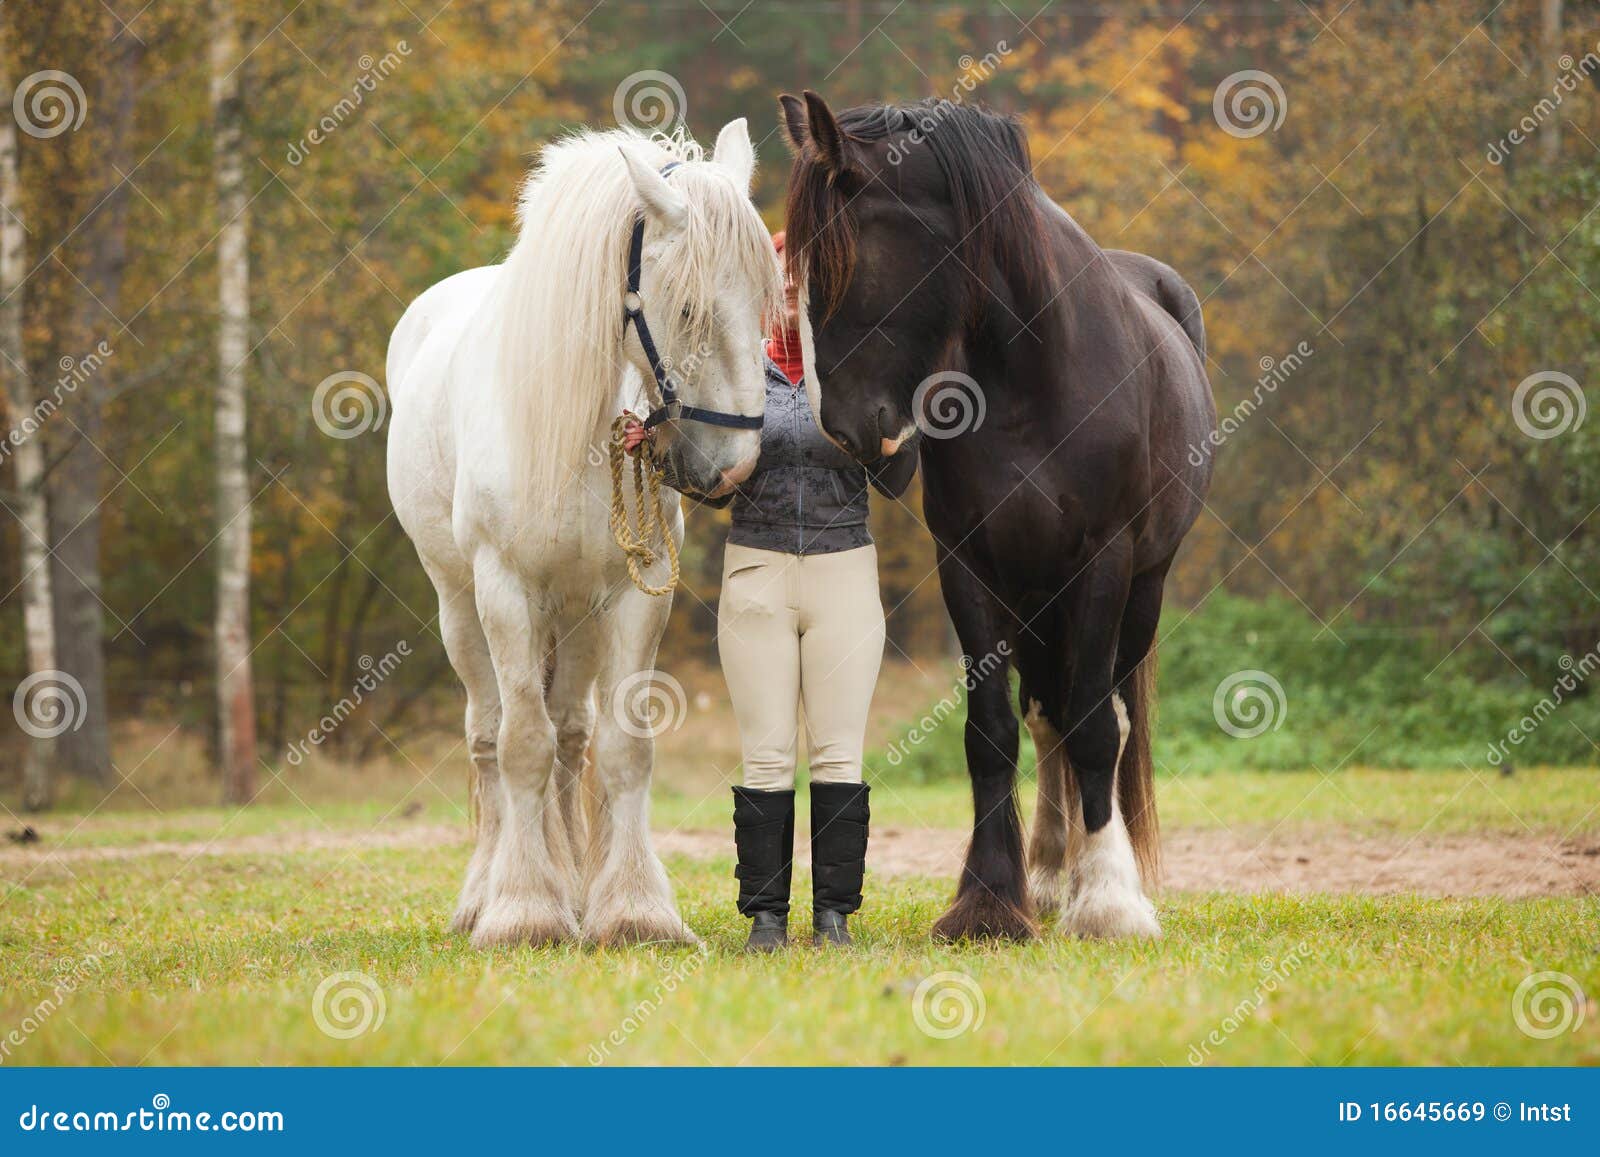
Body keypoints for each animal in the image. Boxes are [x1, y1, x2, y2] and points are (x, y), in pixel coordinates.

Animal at [390, 122, 784, 947]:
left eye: (768, 302)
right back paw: (485, 894)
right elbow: (520, 744)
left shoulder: (634, 596)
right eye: (689, 309)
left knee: (572, 738)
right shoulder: (504, 590)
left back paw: (572, 888)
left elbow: (621, 748)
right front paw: (521, 911)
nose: (736, 468)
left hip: (574, 619)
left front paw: (634, 909)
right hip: (459, 607)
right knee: (488, 734)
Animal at [780, 90, 1216, 940]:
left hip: (1139, 585)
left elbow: (1096, 726)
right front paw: (988, 899)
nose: (842, 429)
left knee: (1101, 714)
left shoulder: (1103, 561)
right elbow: (990, 730)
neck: (1030, 374)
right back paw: (1047, 874)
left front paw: (1109, 900)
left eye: (845, 259)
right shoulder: (970, 564)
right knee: (1045, 715)